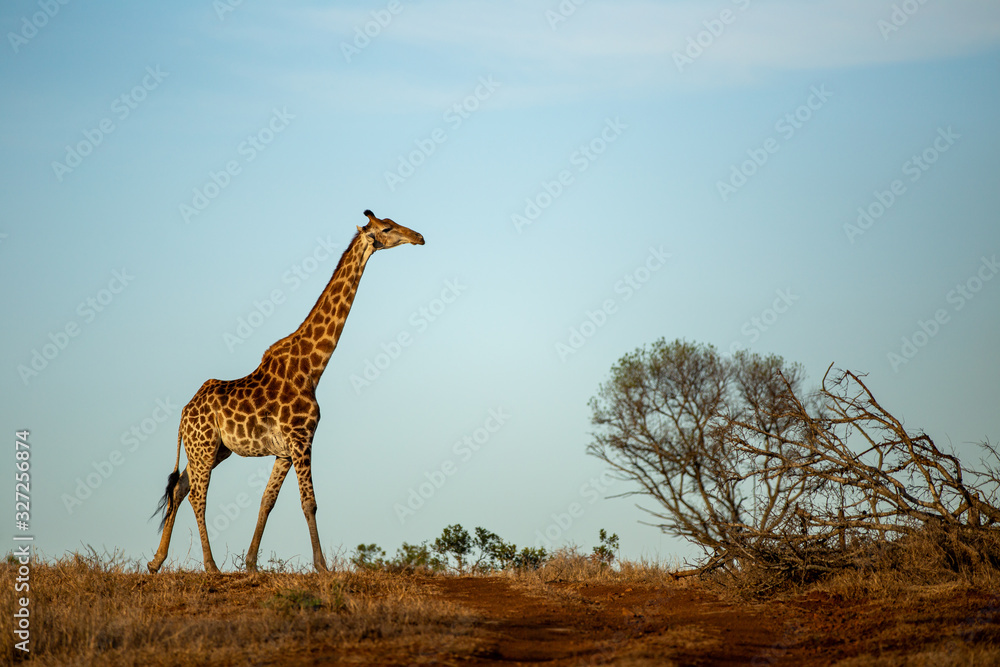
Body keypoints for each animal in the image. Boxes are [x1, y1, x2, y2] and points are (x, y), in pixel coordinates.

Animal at [147, 210, 424, 574]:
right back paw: (210, 566)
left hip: (214, 449)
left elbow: (268, 501)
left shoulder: (284, 451)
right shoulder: (302, 438)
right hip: (204, 446)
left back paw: (156, 561)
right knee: (197, 495)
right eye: (388, 228)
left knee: (179, 488)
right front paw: (322, 567)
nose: (419, 237)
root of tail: (183, 413)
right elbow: (309, 502)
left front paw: (251, 564)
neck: (312, 368)